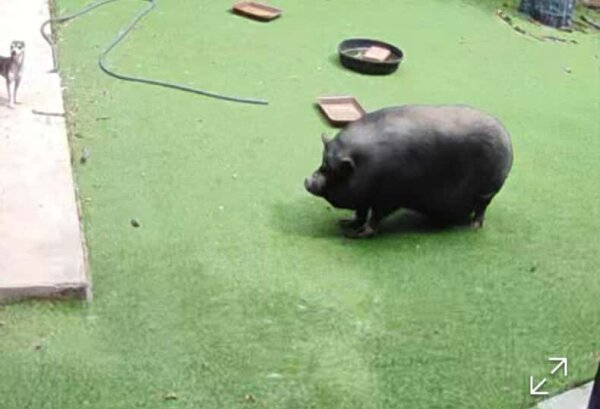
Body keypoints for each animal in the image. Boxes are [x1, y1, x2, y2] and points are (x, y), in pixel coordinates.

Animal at [304, 105, 513, 238]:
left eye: (331, 170)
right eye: (323, 163)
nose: (308, 180)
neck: (364, 165)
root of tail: (506, 136)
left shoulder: (387, 197)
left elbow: (374, 219)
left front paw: (355, 235)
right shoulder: (364, 197)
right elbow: (360, 213)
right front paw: (345, 223)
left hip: (487, 191)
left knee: (481, 208)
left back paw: (474, 227)